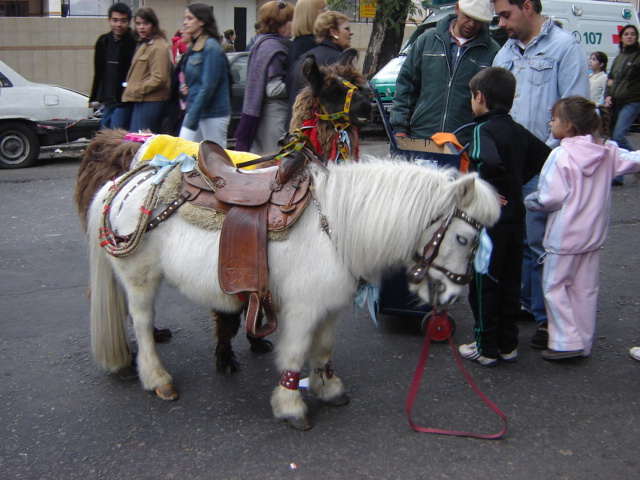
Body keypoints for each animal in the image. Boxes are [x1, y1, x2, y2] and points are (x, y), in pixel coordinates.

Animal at [84, 158, 500, 432]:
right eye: (463, 238)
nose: (453, 295)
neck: (334, 226)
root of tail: (123, 182)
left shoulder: (329, 308)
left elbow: (324, 349)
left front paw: (327, 387)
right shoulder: (302, 310)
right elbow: (297, 353)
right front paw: (290, 406)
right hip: (141, 279)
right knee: (142, 323)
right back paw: (157, 379)